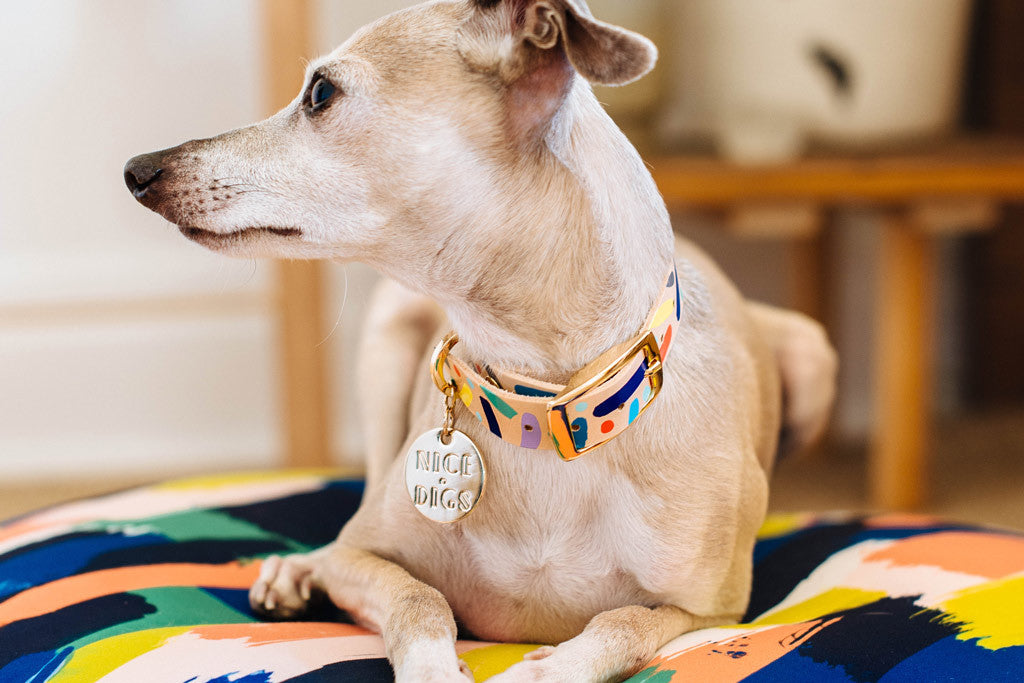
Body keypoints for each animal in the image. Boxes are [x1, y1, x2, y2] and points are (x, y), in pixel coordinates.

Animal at [123, 2, 835, 679]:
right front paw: (433, 666)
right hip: (386, 341)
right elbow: (419, 597)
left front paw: (552, 670)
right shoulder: (363, 558)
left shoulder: (713, 610)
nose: (136, 169)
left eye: (321, 93)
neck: (544, 403)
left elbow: (623, 622)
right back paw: (294, 571)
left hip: (812, 352)